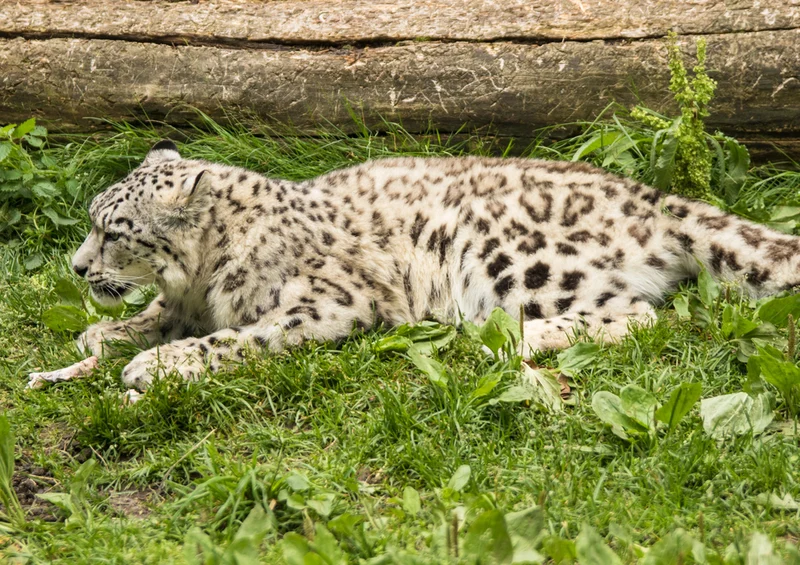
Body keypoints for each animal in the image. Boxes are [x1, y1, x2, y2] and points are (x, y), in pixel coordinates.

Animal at [70, 140, 800, 398]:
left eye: (113, 230)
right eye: (93, 219)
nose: (76, 268)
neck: (203, 276)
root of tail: (651, 195)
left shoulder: (328, 301)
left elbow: (241, 337)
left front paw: (159, 365)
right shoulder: (185, 301)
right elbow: (154, 315)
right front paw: (102, 337)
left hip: (515, 262)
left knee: (645, 314)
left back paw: (512, 337)